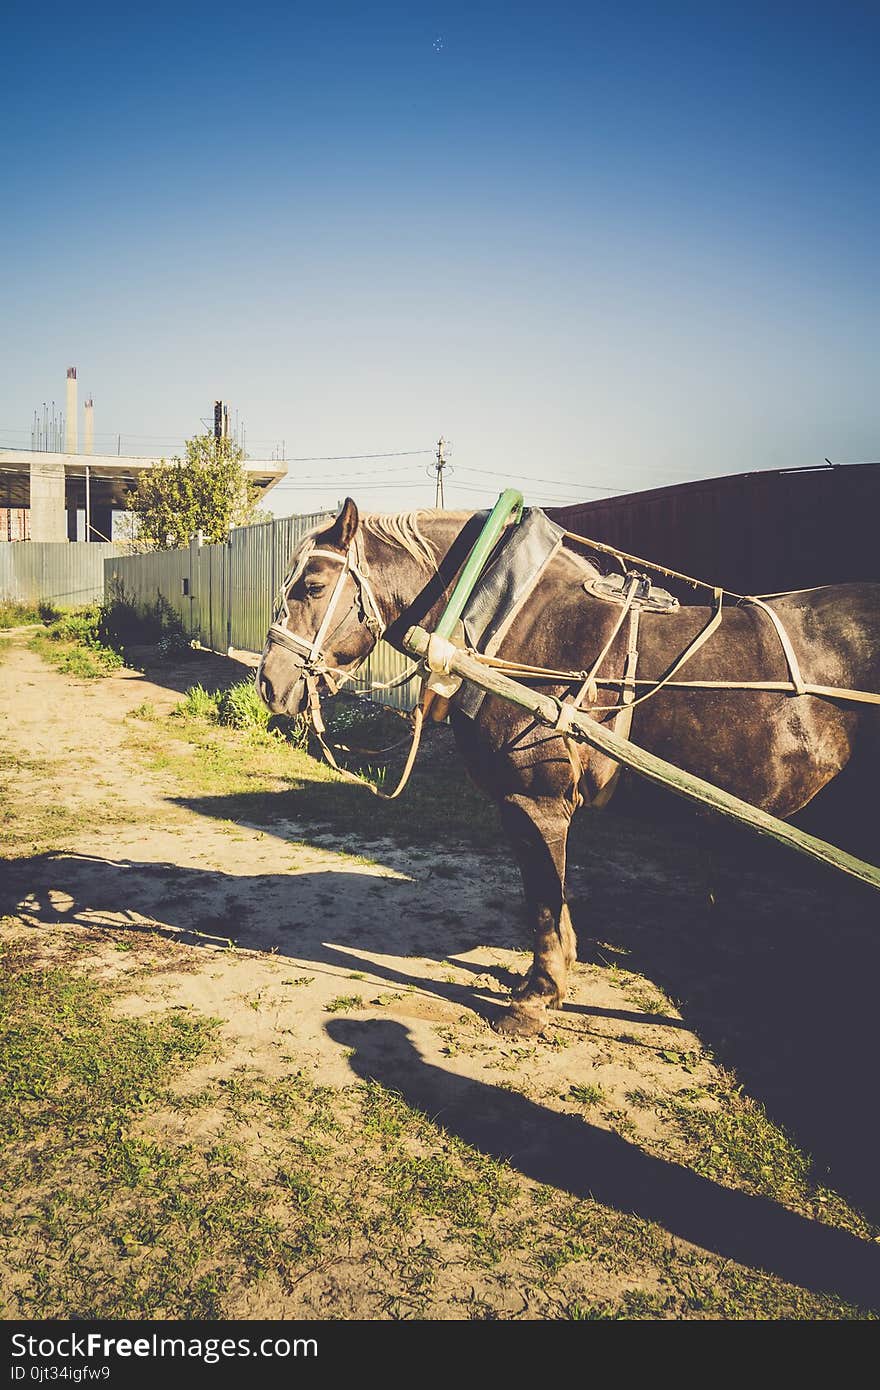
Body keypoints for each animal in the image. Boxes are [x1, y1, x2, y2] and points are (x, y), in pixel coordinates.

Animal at [258, 500, 878, 1034]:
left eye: (312, 587)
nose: (269, 684)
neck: (509, 620)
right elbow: (551, 901)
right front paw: (556, 977)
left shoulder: (536, 800)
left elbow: (542, 897)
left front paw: (536, 997)